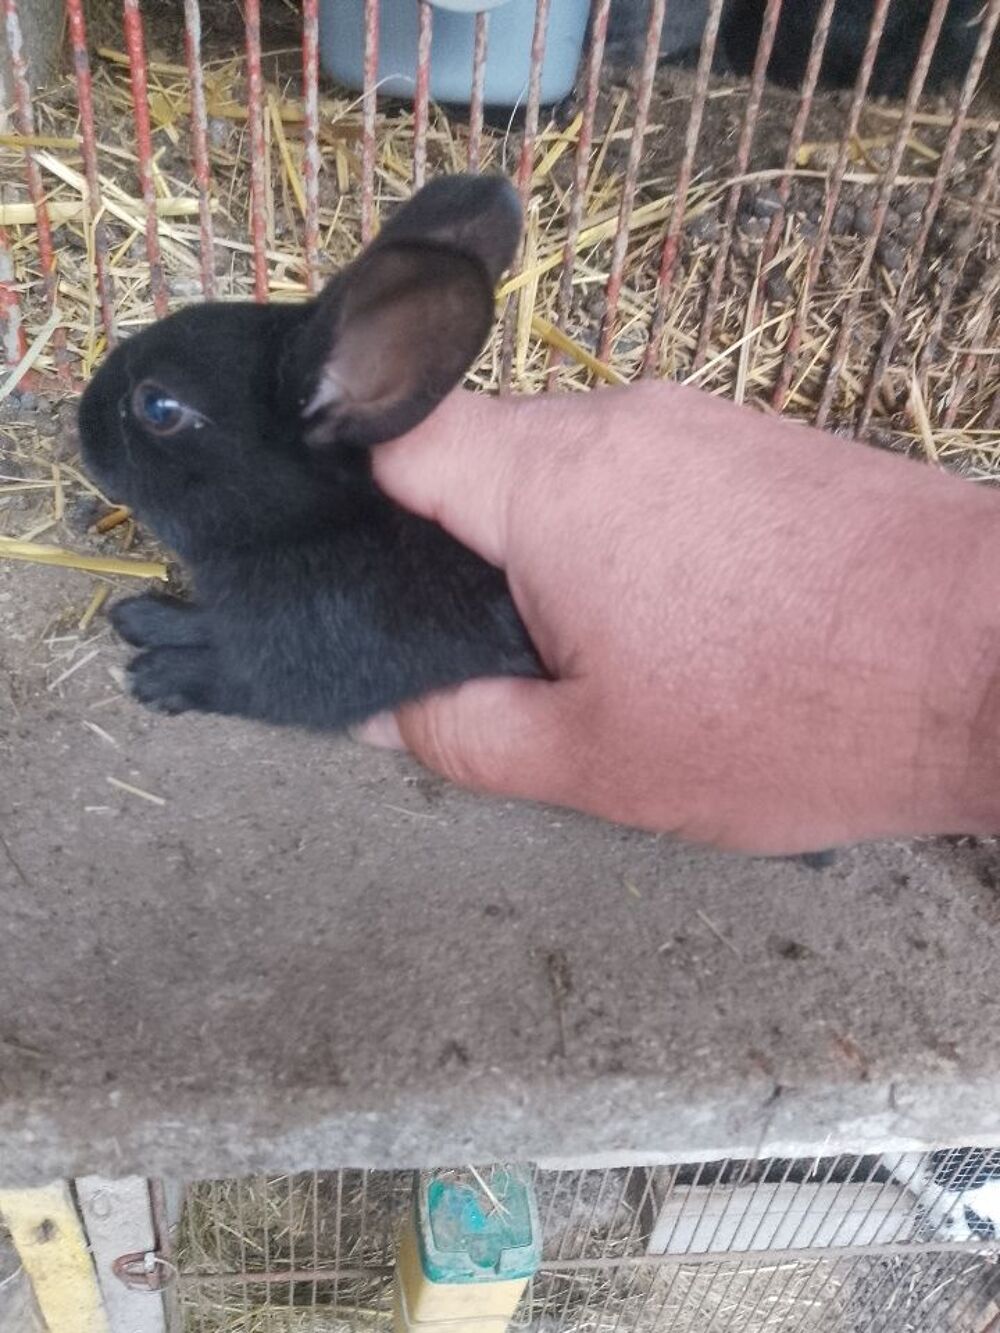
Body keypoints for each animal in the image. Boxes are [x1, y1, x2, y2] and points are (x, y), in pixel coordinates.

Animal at [78, 174, 542, 732]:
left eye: (158, 406)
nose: (81, 422)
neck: (310, 530)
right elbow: (208, 623)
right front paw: (146, 616)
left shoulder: (308, 672)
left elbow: (239, 684)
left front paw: (158, 677)